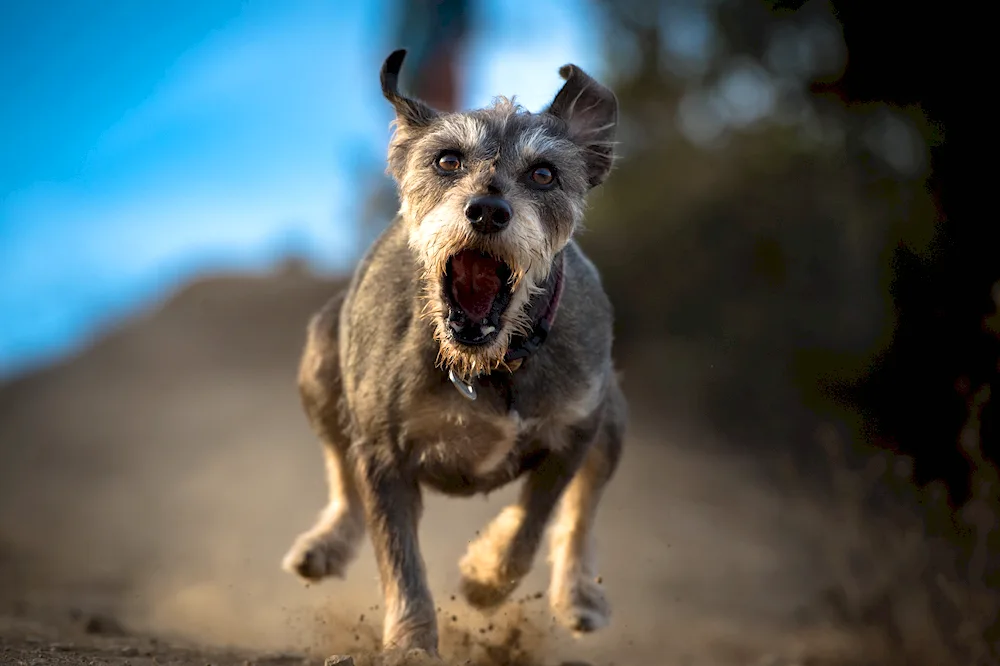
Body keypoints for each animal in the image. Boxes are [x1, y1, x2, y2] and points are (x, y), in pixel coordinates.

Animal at [282, 52, 624, 652]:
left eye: (544, 173)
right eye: (447, 160)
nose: (487, 210)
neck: (491, 366)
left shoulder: (576, 429)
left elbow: (535, 522)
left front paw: (483, 577)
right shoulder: (384, 453)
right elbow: (400, 559)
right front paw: (413, 644)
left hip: (612, 419)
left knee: (583, 507)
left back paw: (579, 595)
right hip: (321, 364)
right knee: (341, 471)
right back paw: (324, 545)